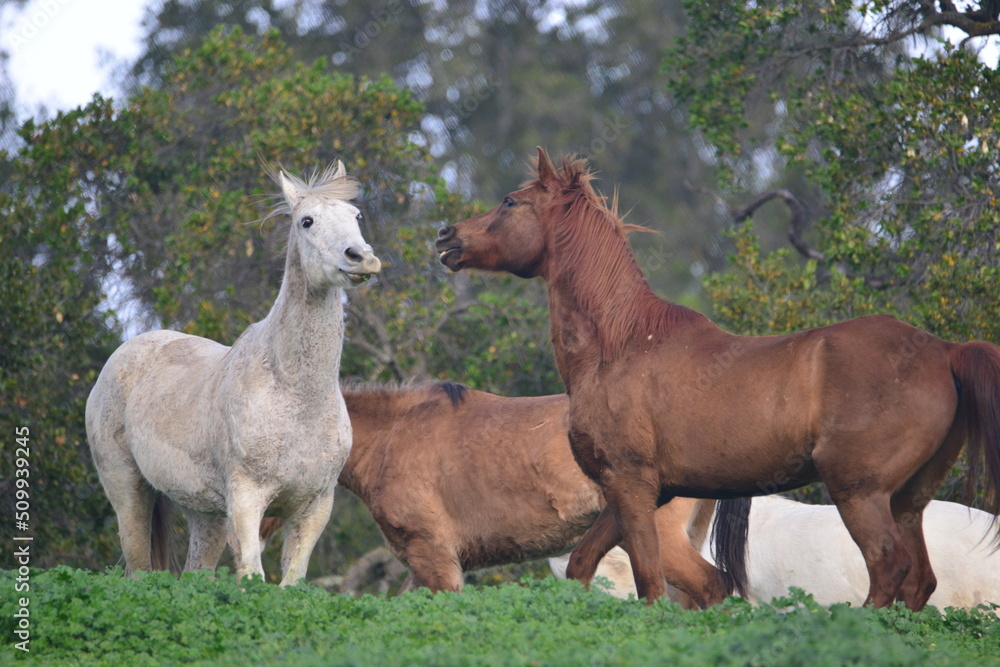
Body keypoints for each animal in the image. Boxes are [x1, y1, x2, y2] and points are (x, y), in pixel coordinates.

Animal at [86, 162, 381, 585]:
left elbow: (291, 582)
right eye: (307, 221)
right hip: (128, 490)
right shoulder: (245, 499)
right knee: (139, 568)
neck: (295, 394)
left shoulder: (313, 507)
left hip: (203, 514)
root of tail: (125, 351)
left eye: (356, 216)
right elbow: (251, 576)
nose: (361, 258)